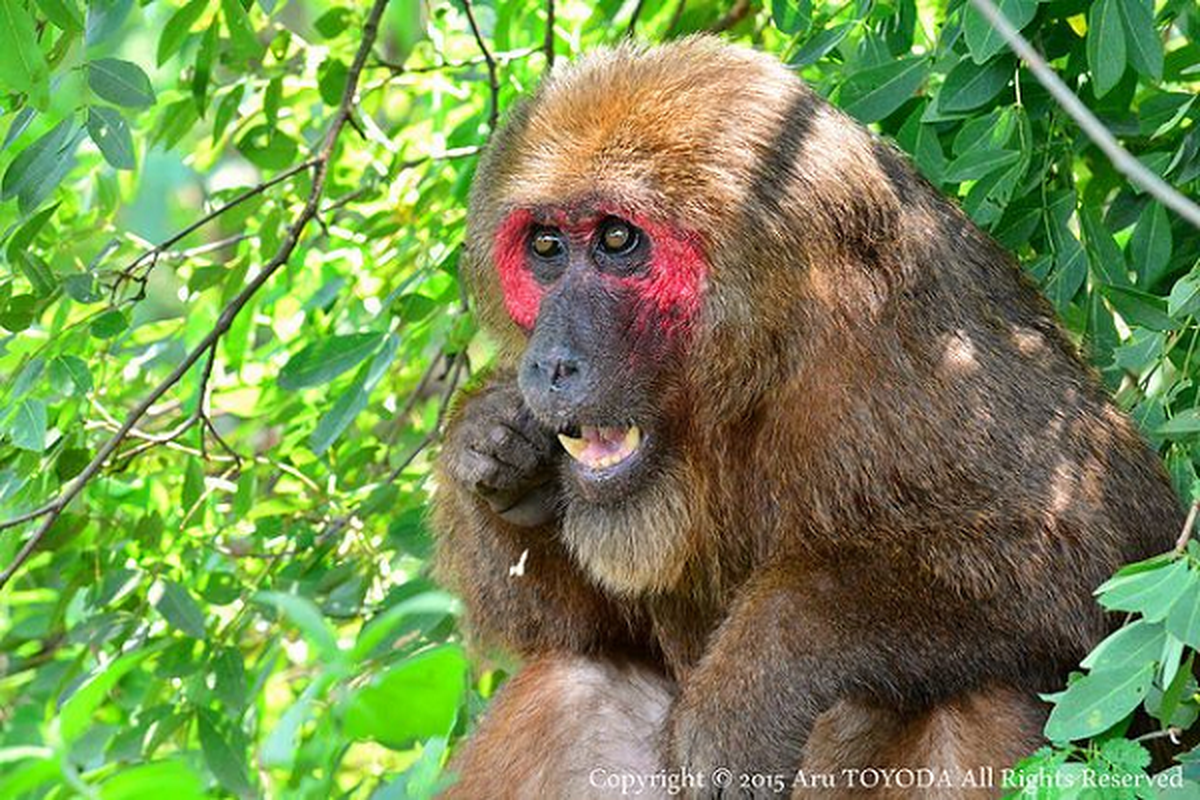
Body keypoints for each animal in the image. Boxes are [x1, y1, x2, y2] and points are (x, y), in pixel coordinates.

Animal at [429, 35, 1180, 800]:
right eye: (547, 247)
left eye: (616, 240)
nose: (552, 361)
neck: (758, 359)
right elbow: (594, 631)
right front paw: (501, 458)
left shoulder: (900, 352)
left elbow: (1090, 555)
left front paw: (760, 671)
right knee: (573, 690)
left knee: (974, 701)